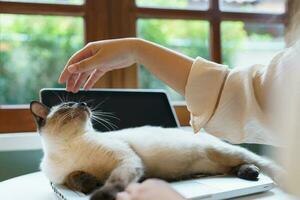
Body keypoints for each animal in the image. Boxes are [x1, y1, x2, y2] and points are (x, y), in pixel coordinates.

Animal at [29, 101, 282, 200]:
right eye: (68, 106)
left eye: (80, 103)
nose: (83, 105)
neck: (68, 148)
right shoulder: (63, 178)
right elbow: (74, 177)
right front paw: (90, 184)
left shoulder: (126, 160)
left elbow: (114, 180)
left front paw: (99, 194)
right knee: (231, 169)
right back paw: (248, 173)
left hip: (225, 152)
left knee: (260, 163)